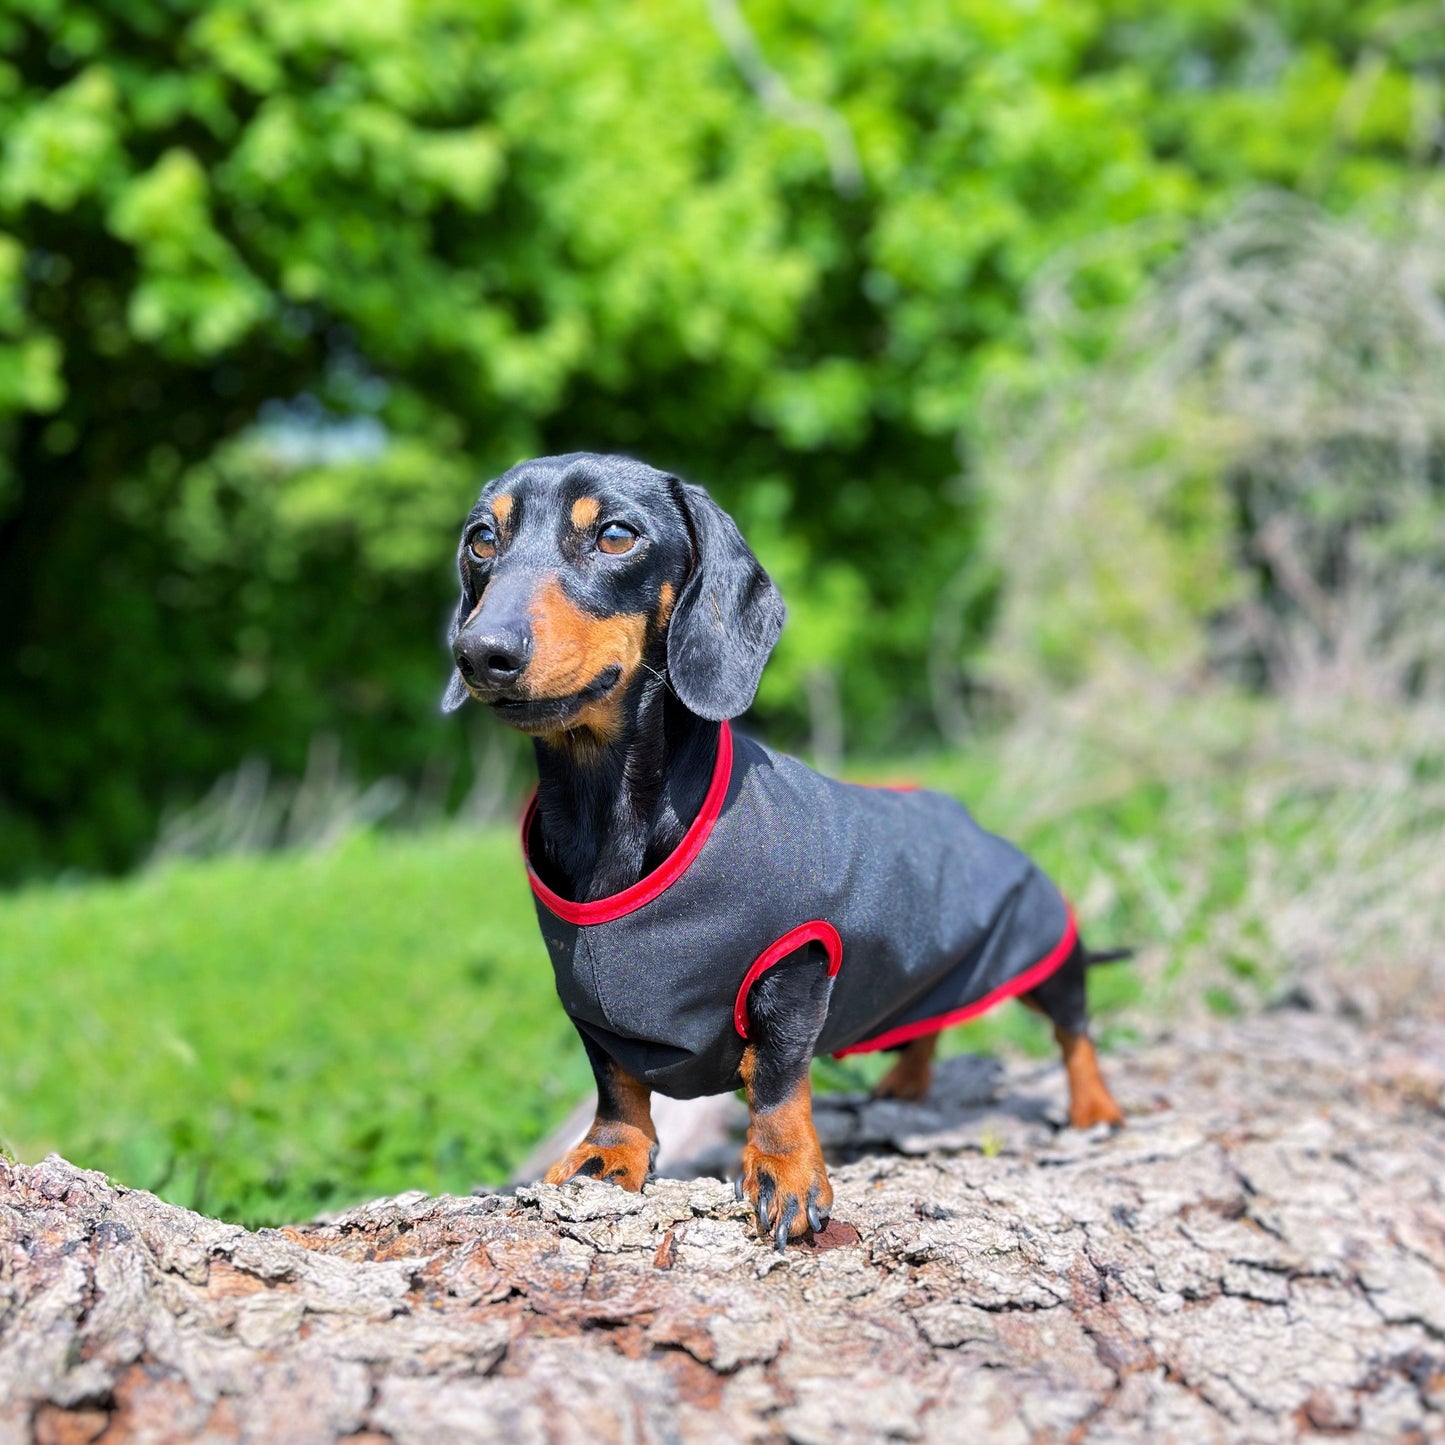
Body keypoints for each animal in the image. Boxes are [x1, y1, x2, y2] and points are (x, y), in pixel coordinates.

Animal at [445, 456, 1121, 1248]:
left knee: (1075, 1026)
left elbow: (774, 1079)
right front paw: (609, 1152)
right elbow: (615, 1079)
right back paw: (907, 1080)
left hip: (1042, 942)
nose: (480, 653)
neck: (607, 810)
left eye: (614, 535)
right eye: (482, 540)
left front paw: (785, 1172)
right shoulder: (586, 1002)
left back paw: (1095, 1106)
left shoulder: (795, 965)